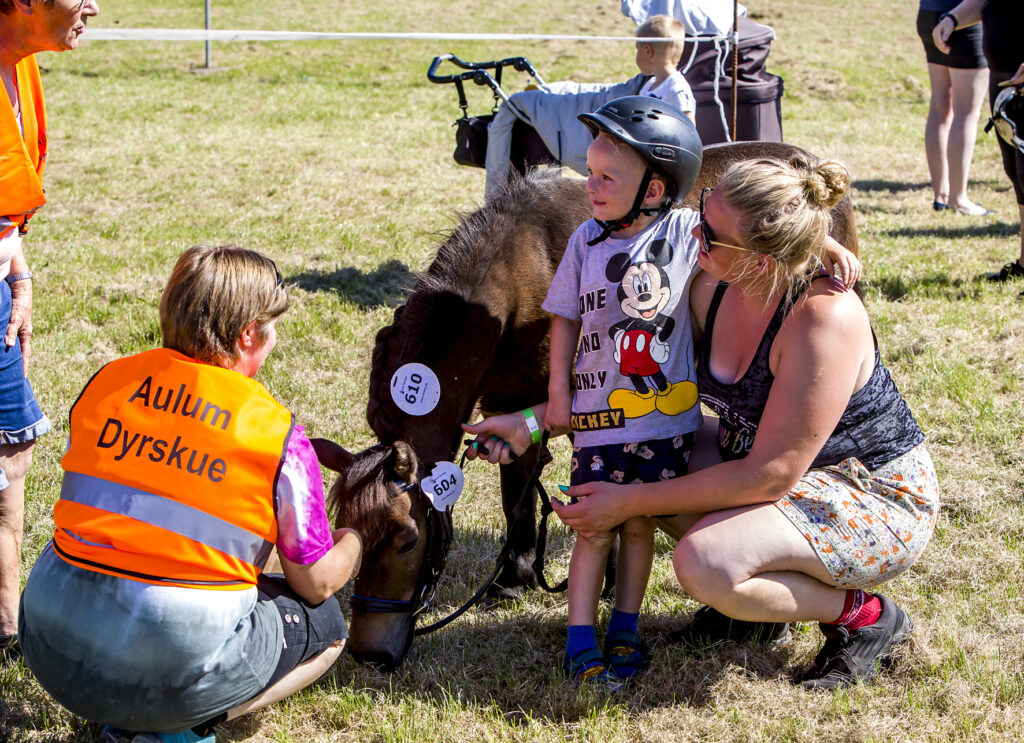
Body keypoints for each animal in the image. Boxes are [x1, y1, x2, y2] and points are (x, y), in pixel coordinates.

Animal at [315, 139, 860, 671]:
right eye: (348, 531)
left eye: (407, 539)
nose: (368, 653)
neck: (517, 279)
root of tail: (808, 165)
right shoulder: (506, 410)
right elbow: (519, 494)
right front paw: (516, 578)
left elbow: (599, 498)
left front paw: (599, 582)